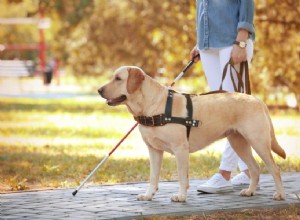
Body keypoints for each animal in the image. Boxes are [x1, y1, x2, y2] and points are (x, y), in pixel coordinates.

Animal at [98, 65, 286, 203]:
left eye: (118, 79)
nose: (99, 90)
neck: (152, 106)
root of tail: (258, 100)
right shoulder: (154, 150)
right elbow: (153, 177)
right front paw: (148, 195)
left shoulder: (181, 149)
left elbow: (182, 177)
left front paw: (181, 196)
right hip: (238, 143)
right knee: (255, 168)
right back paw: (250, 191)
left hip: (258, 142)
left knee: (275, 169)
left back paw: (280, 194)